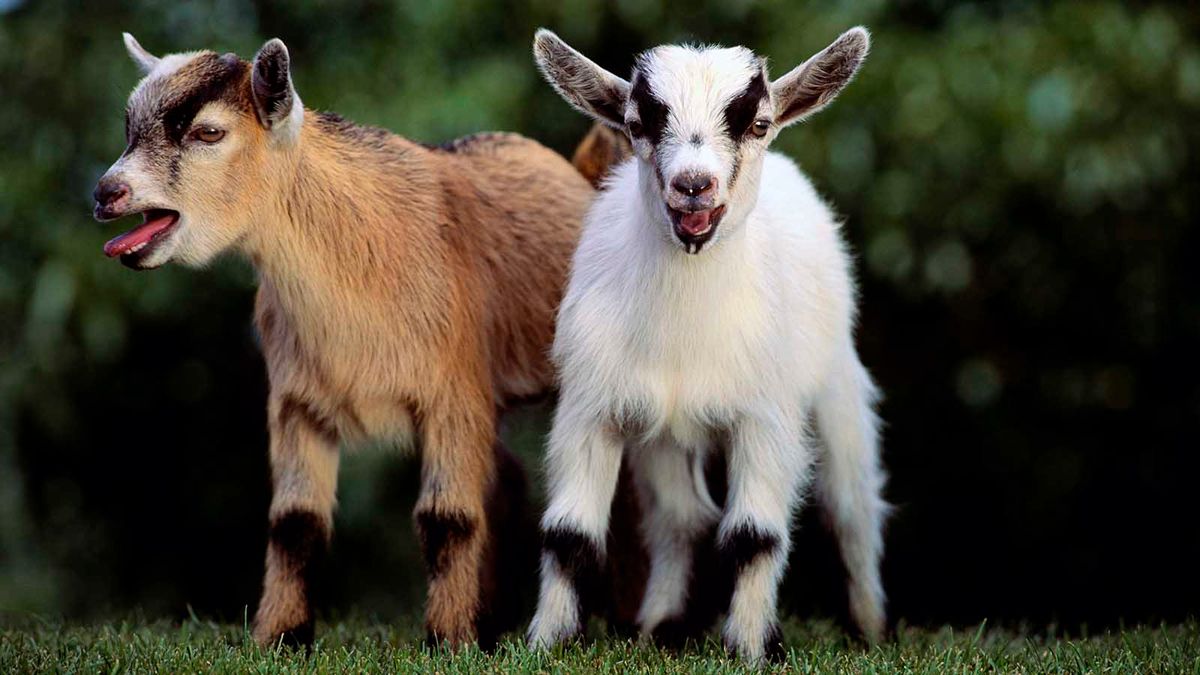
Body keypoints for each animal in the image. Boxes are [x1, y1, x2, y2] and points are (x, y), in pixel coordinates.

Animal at [93, 35, 628, 648]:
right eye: (129, 124)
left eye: (208, 132)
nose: (107, 193)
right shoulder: (297, 403)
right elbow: (294, 523)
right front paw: (280, 638)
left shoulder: (454, 393)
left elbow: (447, 517)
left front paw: (447, 643)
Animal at [530, 28, 888, 658]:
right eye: (637, 123)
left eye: (759, 123)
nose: (694, 185)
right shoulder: (591, 408)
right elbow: (569, 534)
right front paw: (546, 643)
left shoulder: (764, 418)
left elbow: (753, 536)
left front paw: (749, 649)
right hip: (664, 437)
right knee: (682, 517)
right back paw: (658, 625)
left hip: (838, 383)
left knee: (852, 506)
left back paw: (868, 628)